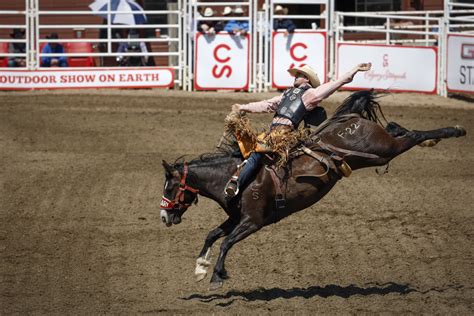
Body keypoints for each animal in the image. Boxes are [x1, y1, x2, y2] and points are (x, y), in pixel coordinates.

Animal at [159, 90, 466, 290]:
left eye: (171, 187)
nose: (164, 217)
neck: (235, 176)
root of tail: (350, 119)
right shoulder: (236, 218)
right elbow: (213, 234)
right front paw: (200, 268)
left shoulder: (252, 222)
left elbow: (226, 242)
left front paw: (216, 276)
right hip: (382, 149)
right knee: (397, 127)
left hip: (384, 151)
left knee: (413, 135)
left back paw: (454, 131)